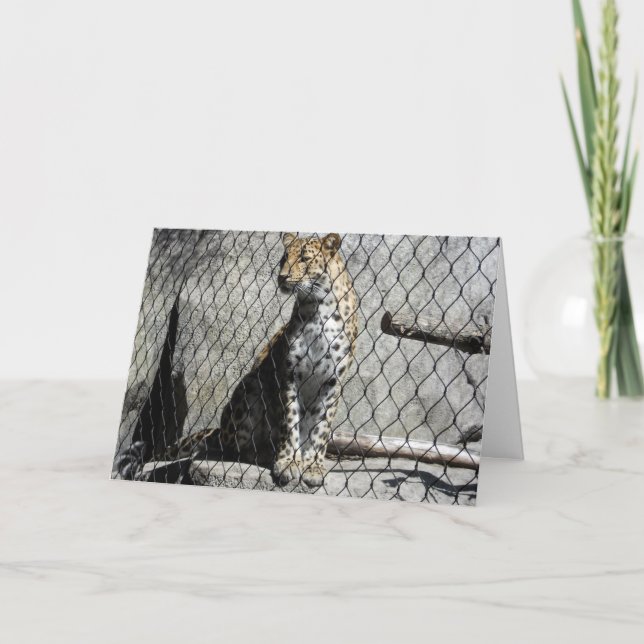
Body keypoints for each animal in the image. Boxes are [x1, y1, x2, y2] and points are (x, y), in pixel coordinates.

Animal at [217, 232, 359, 488]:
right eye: (283, 258)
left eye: (304, 258)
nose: (282, 276)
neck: (319, 307)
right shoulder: (290, 375)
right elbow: (290, 421)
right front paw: (287, 462)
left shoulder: (332, 382)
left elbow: (320, 427)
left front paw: (312, 466)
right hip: (250, 387)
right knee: (232, 448)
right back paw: (265, 453)